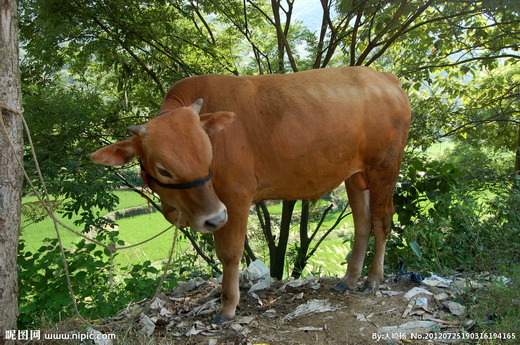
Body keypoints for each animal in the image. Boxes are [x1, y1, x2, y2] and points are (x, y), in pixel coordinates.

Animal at [92, 66, 410, 322]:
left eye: (207, 155)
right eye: (163, 169)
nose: (214, 217)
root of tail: (385, 78)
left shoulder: (235, 198)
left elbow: (230, 254)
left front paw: (227, 307)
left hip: (384, 168)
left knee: (382, 221)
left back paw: (373, 279)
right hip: (355, 176)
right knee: (362, 224)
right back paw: (350, 278)